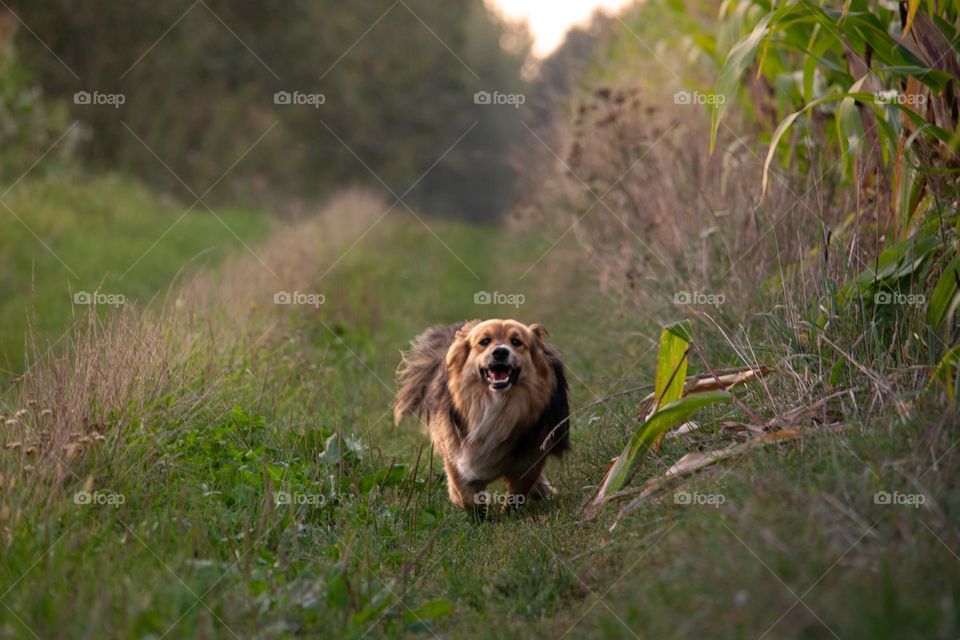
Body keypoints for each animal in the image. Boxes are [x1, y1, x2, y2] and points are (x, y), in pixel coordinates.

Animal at [392, 320, 568, 510]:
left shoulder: (529, 458)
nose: (500, 352)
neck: (495, 404)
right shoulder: (457, 456)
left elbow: (518, 490)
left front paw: (508, 511)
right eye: (484, 341)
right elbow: (466, 493)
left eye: (516, 342)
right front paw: (476, 512)